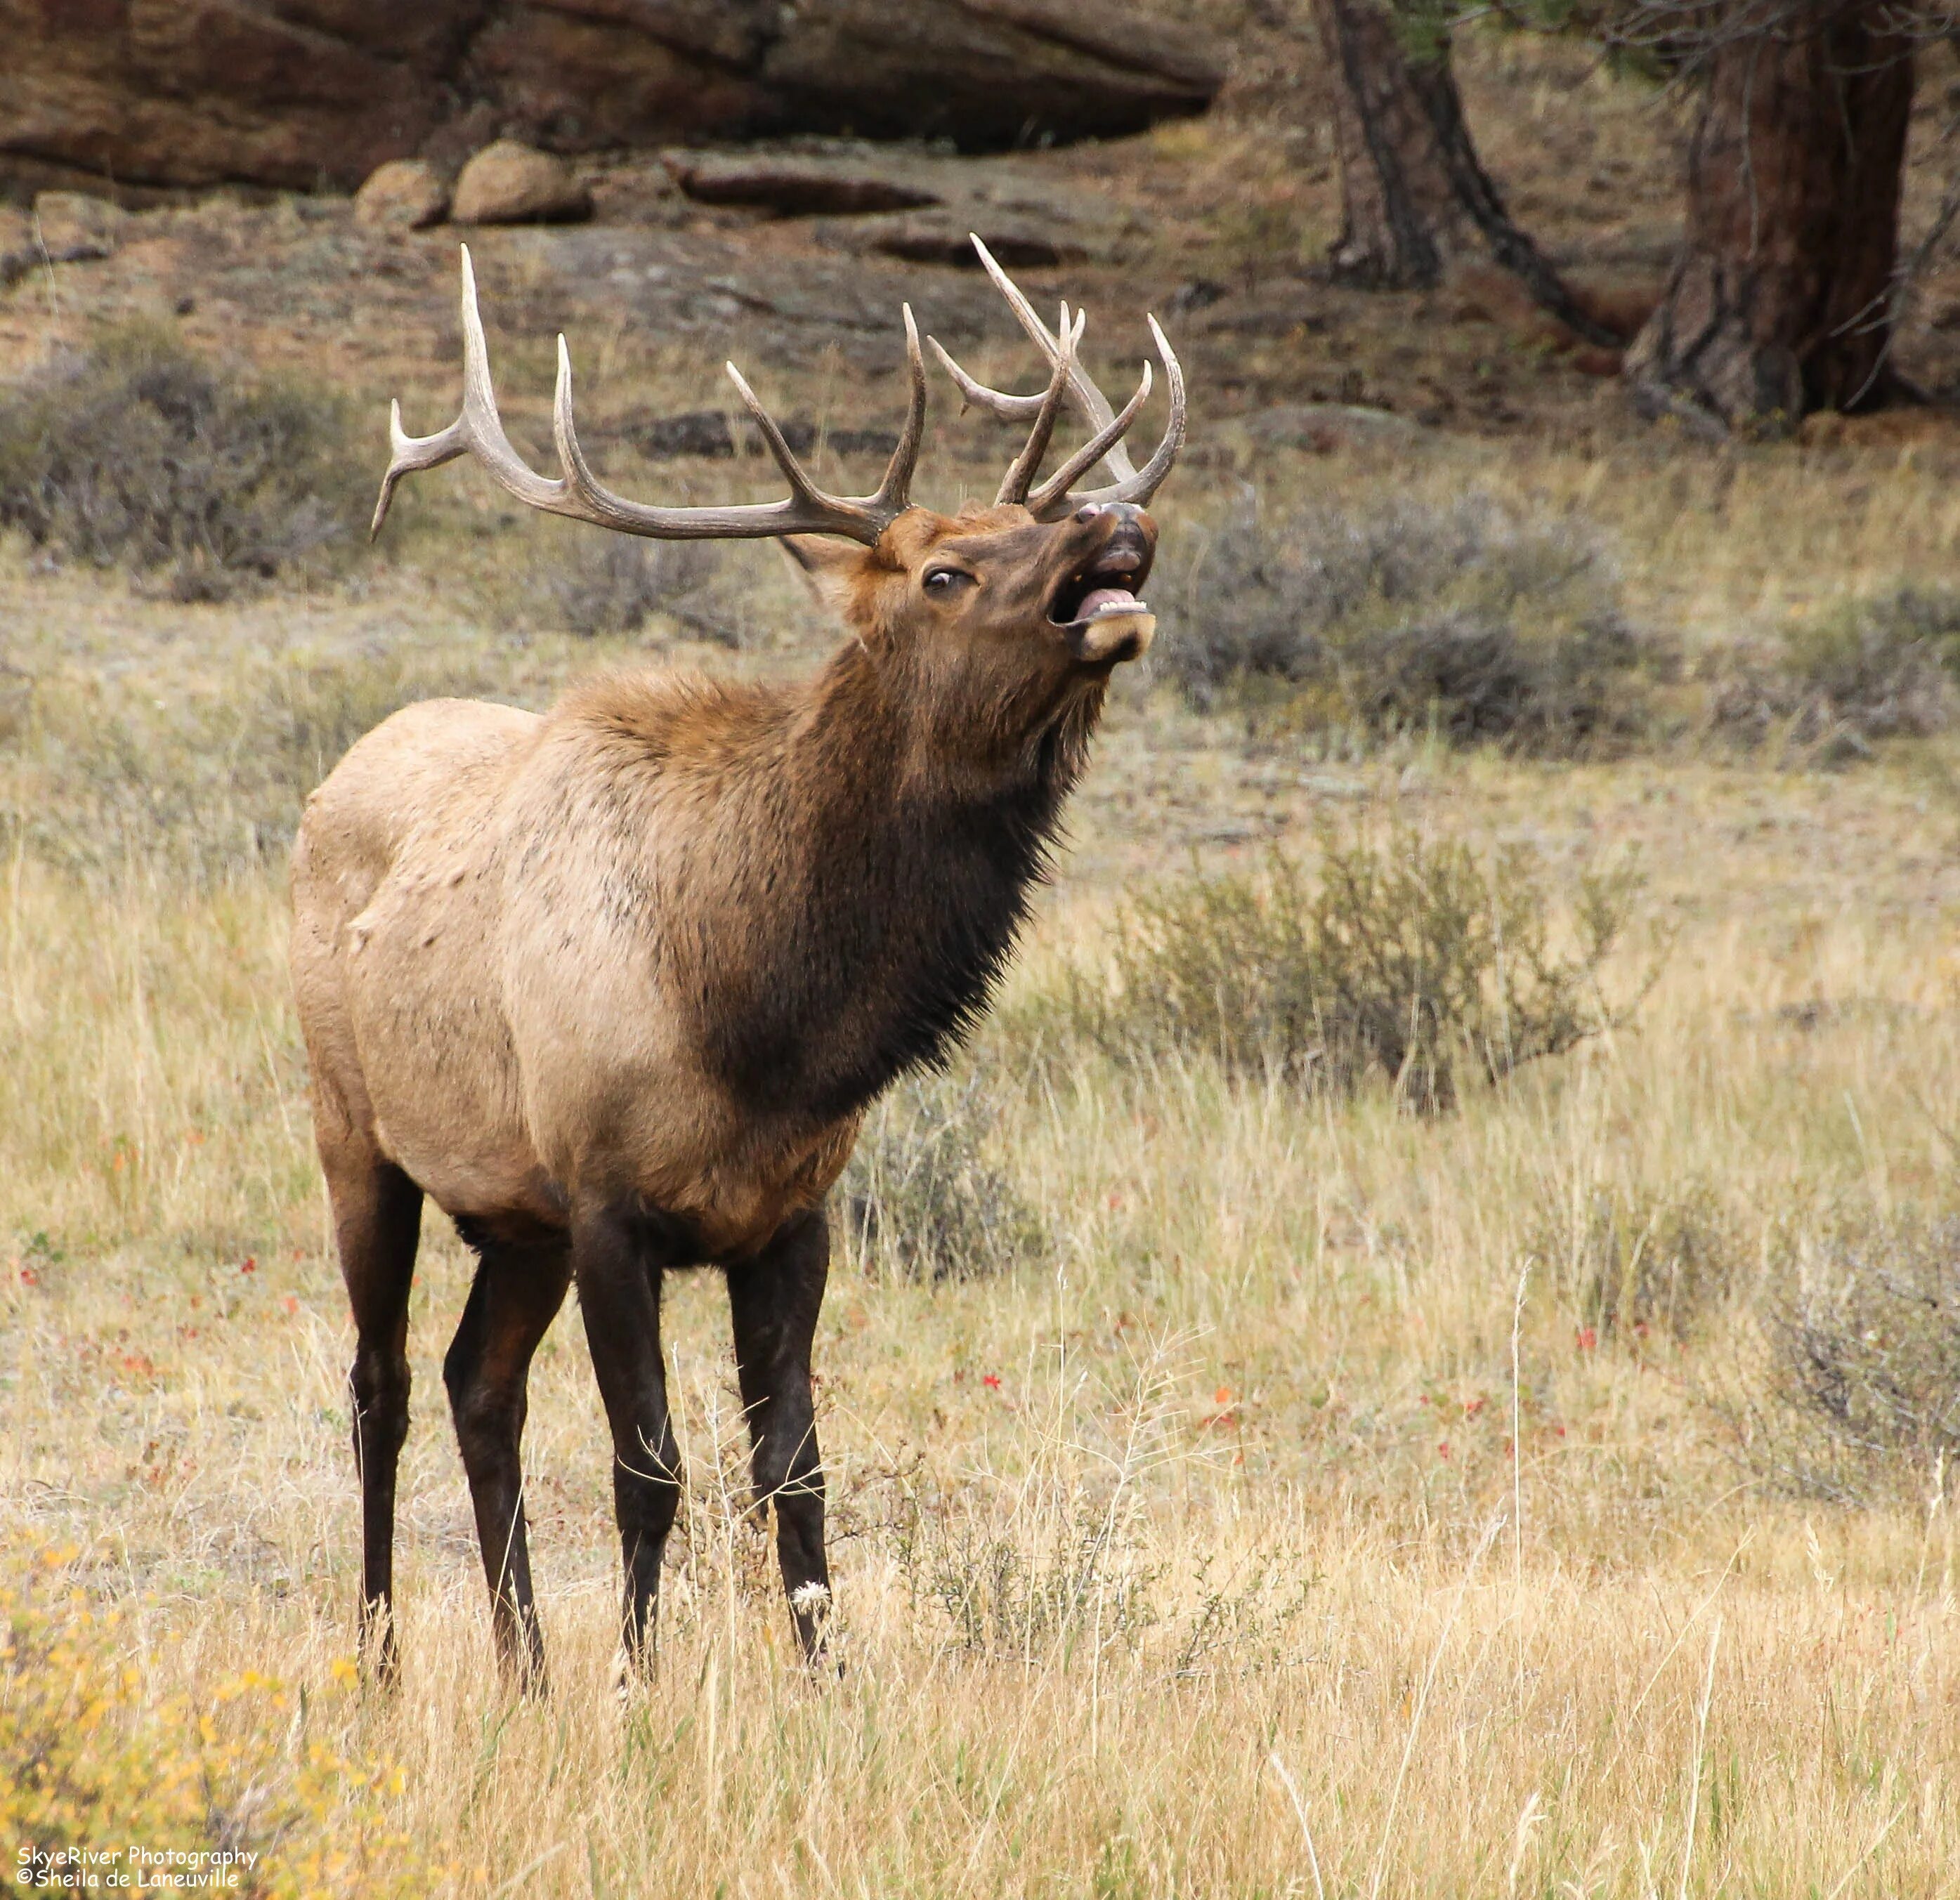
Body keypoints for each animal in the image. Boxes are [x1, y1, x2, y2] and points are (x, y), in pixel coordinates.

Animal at [288, 241, 1176, 1692]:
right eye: (941, 570)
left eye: (1018, 522)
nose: (1115, 517)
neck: (759, 1021)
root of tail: (341, 770)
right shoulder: (607, 1198)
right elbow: (648, 1468)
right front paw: (637, 1683)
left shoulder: (789, 1214)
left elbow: (795, 1472)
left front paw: (823, 1686)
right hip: (355, 1130)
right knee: (385, 1386)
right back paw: (384, 1666)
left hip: (516, 1214)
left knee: (482, 1385)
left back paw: (525, 1668)